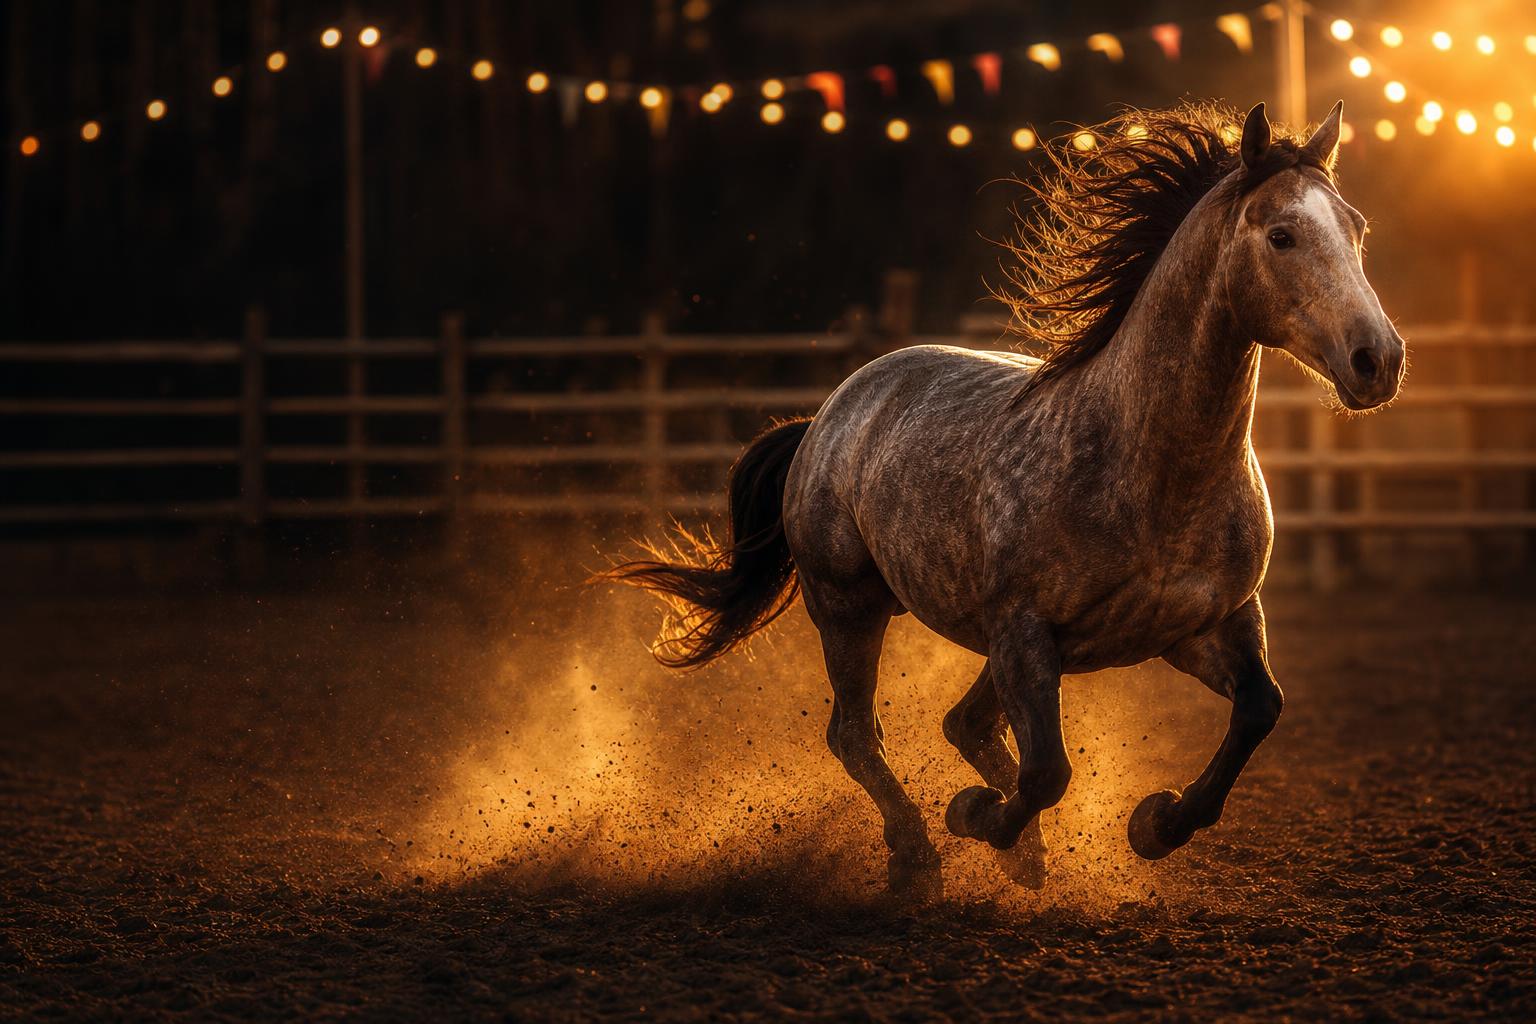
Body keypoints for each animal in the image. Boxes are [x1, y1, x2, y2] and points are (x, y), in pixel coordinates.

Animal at [601, 101, 1404, 897]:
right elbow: (1048, 771)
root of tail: (829, 414)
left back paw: (1020, 852)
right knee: (858, 734)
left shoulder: (1207, 626)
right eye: (1281, 235)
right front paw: (976, 816)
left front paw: (1154, 823)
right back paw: (919, 856)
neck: (1149, 473)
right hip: (850, 606)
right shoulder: (1025, 632)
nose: (1379, 359)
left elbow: (1259, 710)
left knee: (963, 724)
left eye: (1359, 229)